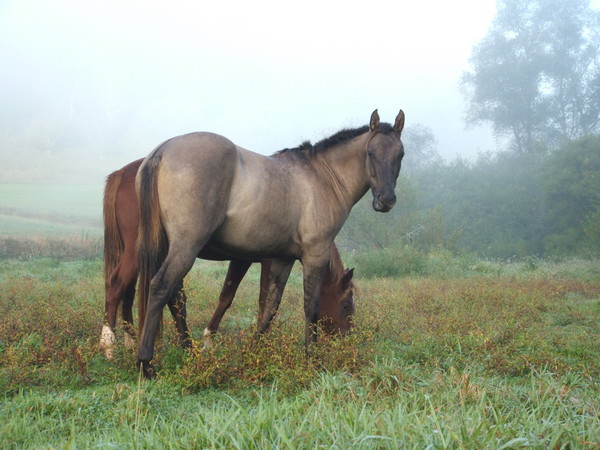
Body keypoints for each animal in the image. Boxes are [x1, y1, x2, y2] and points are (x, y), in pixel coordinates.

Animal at [101, 158, 356, 358]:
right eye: (346, 304)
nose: (348, 339)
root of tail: (123, 173)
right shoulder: (257, 260)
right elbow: (247, 299)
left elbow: (231, 297)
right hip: (140, 253)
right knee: (117, 286)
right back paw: (109, 346)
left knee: (140, 294)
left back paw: (142, 341)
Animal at [138, 109, 406, 376]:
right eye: (346, 306)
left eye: (400, 154)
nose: (385, 200)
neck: (324, 177)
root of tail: (163, 150)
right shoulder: (314, 254)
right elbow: (310, 307)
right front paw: (311, 360)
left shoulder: (282, 260)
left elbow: (270, 308)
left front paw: (251, 354)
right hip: (186, 246)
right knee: (161, 287)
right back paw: (146, 363)